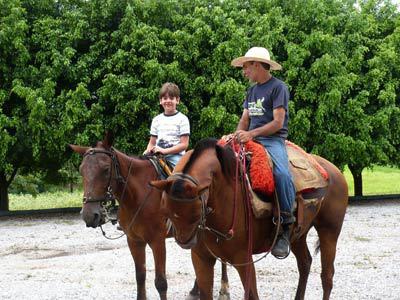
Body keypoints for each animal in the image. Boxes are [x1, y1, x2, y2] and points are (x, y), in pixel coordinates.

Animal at [70, 134, 230, 300]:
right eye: (81, 171)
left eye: (106, 169)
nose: (89, 215)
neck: (138, 195)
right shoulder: (134, 241)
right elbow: (140, 275)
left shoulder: (157, 241)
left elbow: (161, 282)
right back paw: (195, 290)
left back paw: (224, 289)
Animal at [152, 138, 348, 300]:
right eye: (166, 210)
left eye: (194, 214)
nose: (184, 241)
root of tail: (333, 171)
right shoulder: (201, 258)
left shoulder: (243, 259)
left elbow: (252, 295)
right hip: (298, 234)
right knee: (305, 263)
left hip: (329, 231)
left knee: (327, 276)